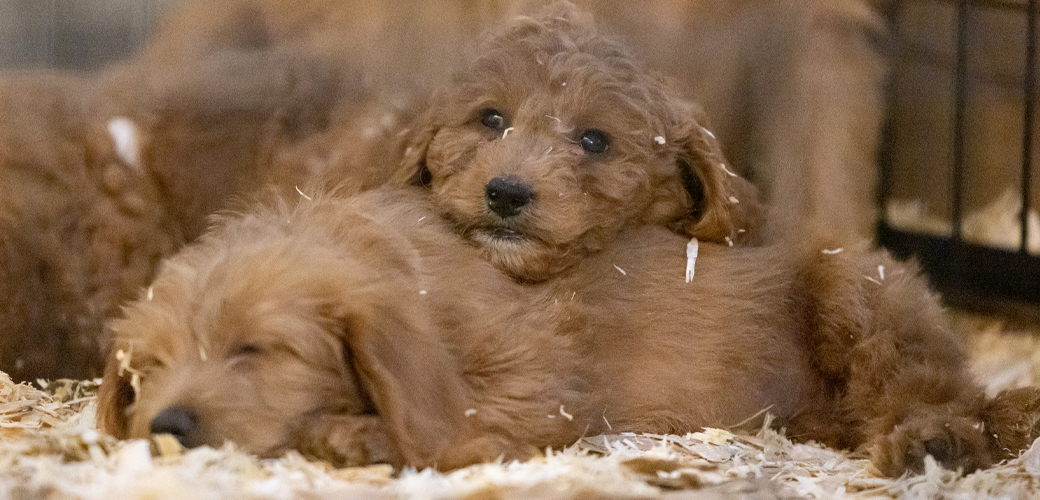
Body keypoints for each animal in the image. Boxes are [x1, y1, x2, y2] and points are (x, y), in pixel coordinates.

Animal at [95, 187, 1040, 476]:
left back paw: (934, 439)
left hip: (857, 290)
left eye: (256, 350)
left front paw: (353, 434)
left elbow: (464, 424)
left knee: (938, 392)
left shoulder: (539, 375)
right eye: (147, 369)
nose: (166, 427)